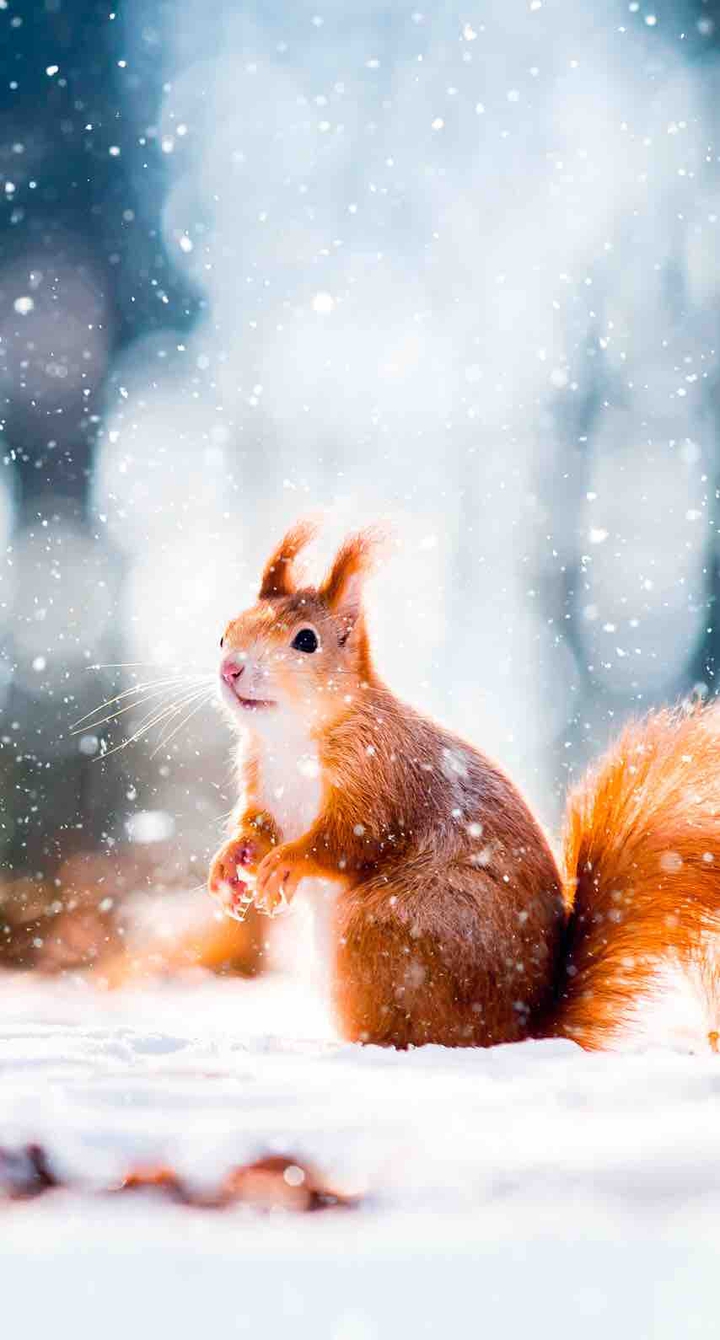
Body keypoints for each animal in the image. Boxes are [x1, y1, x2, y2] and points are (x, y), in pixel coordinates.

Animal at [208, 519, 720, 1050]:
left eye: (306, 641)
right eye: (226, 633)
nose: (231, 669)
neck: (291, 739)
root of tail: (519, 1028)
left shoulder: (379, 774)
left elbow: (351, 839)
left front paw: (286, 862)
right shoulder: (261, 782)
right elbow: (257, 825)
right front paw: (231, 861)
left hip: (385, 929)